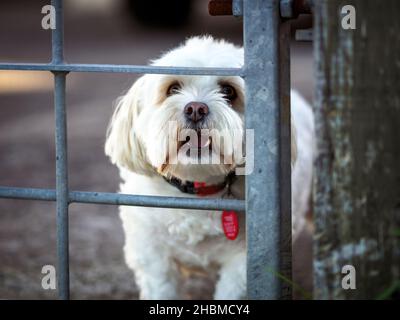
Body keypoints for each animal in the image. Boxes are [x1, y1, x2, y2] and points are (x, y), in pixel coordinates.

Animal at [105, 35, 316, 300]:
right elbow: (162, 289)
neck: (197, 190)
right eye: (172, 88)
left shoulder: (243, 263)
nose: (196, 108)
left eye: (228, 91)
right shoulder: (153, 257)